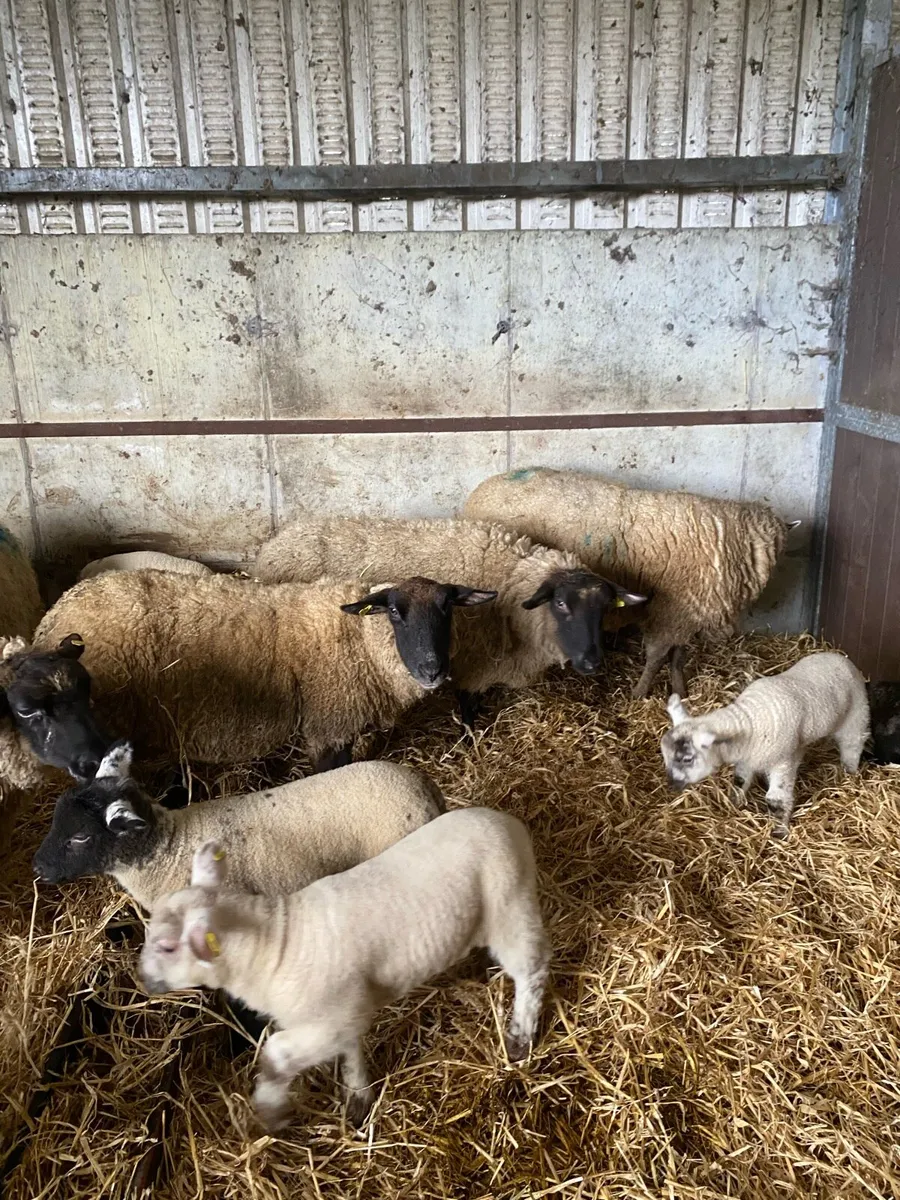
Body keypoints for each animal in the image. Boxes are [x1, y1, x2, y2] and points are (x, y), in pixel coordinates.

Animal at [33, 568, 495, 771]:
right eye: (396, 612)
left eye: (448, 608)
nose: (433, 670)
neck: (360, 639)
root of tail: (57, 613)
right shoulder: (329, 725)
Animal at [140, 808, 550, 1131]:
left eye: (168, 946)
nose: (142, 978)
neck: (273, 947)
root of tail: (507, 821)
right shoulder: (345, 1014)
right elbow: (349, 1053)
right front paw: (357, 1099)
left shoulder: (329, 1018)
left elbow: (275, 1056)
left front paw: (270, 1114)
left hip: (510, 906)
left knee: (533, 971)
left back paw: (520, 1037)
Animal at [253, 515, 646, 728]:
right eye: (561, 603)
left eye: (604, 608)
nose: (593, 662)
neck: (511, 579)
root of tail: (274, 543)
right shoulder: (472, 663)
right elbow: (468, 708)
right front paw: (473, 737)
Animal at [463, 467, 795, 699]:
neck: (728, 540)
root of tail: (482, 490)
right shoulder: (671, 610)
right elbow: (658, 656)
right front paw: (640, 693)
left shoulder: (684, 615)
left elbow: (678, 657)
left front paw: (680, 691)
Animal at [660, 651, 869, 838]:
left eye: (687, 759)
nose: (671, 784)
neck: (750, 719)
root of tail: (841, 656)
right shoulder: (748, 758)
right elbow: (740, 781)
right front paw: (734, 803)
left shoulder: (782, 761)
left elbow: (776, 799)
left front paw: (779, 831)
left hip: (856, 713)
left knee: (852, 745)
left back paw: (849, 773)